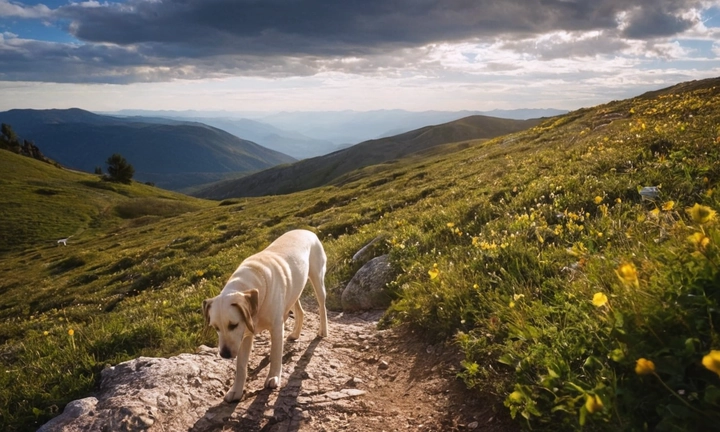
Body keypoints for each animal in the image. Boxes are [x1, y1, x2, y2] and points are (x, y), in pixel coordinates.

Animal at [201, 230, 328, 402]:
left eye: (233, 325)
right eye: (215, 328)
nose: (224, 354)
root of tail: (307, 230)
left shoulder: (275, 327)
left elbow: (275, 353)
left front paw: (273, 377)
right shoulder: (245, 336)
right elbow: (241, 365)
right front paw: (236, 390)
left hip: (317, 278)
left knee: (322, 305)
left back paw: (323, 331)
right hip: (294, 291)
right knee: (300, 311)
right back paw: (295, 334)